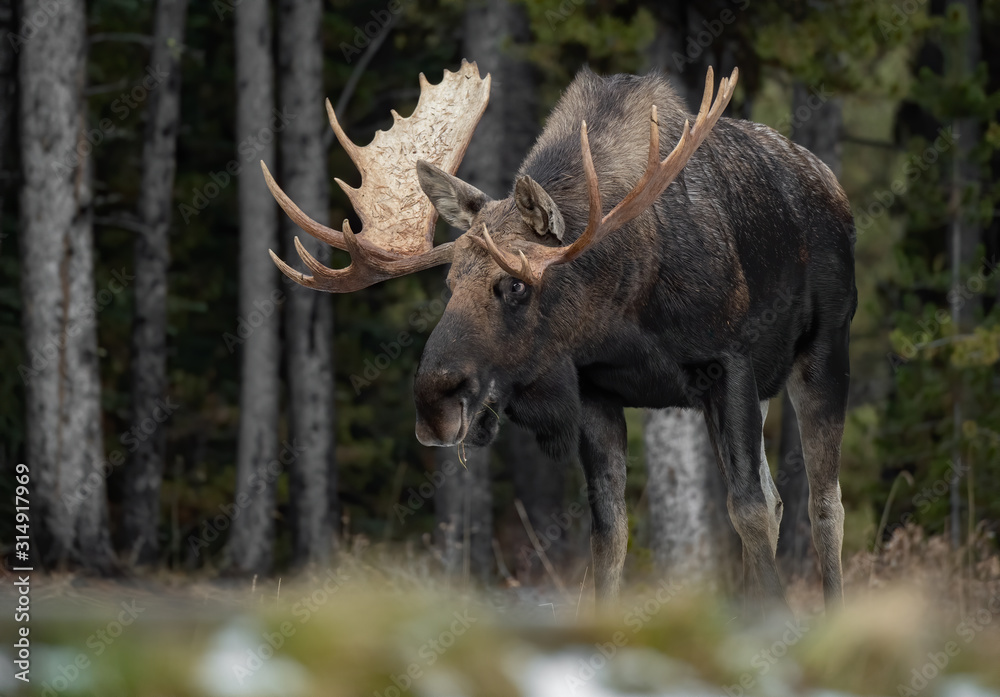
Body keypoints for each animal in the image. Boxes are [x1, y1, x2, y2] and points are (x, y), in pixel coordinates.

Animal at [261, 60, 857, 610]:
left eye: (515, 284)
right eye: (450, 283)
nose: (434, 403)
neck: (624, 308)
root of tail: (831, 181)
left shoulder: (728, 365)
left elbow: (748, 510)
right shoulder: (594, 390)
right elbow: (609, 534)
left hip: (823, 353)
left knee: (824, 504)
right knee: (782, 500)